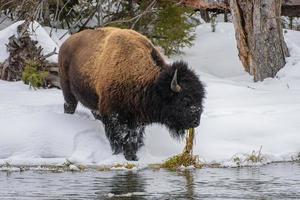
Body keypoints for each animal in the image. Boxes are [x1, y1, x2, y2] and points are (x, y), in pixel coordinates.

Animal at [58, 27, 205, 161]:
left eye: (201, 98)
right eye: (185, 100)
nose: (196, 121)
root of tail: (65, 43)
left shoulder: (137, 119)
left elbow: (134, 136)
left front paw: (134, 153)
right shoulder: (115, 115)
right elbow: (122, 135)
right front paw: (126, 154)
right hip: (67, 91)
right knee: (69, 105)